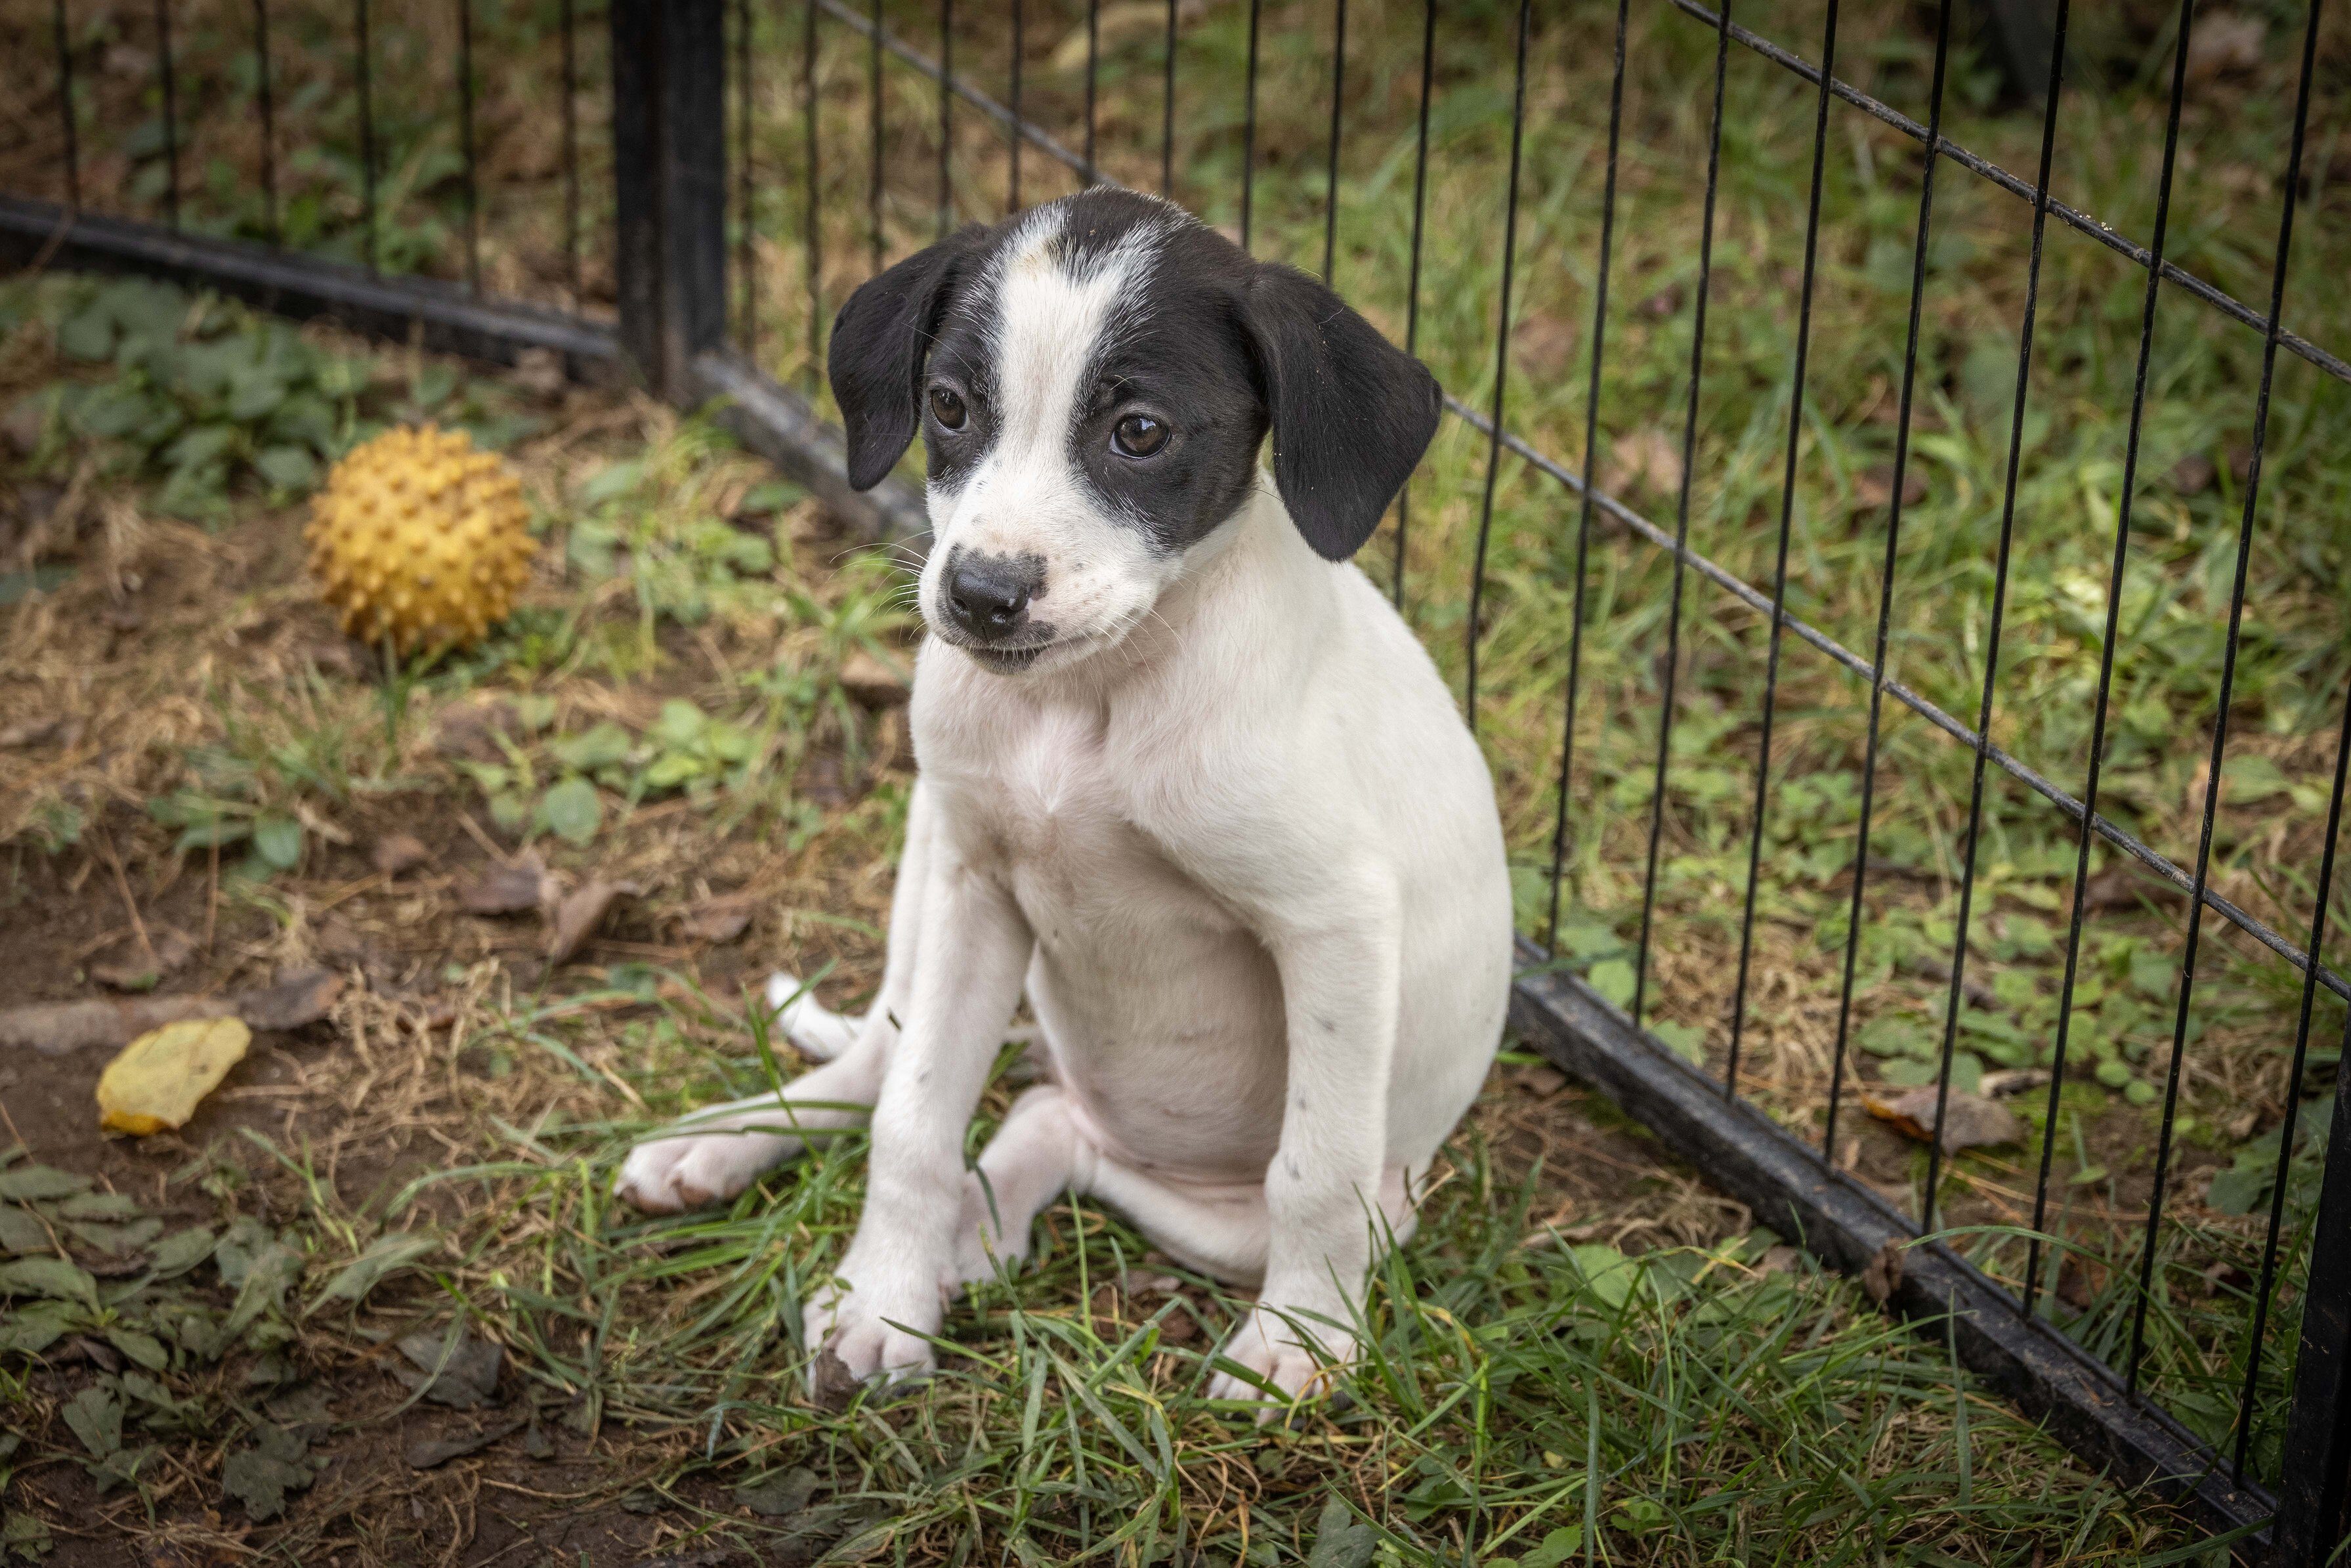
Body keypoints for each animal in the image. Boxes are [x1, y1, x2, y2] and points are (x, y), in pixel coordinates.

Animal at [615, 188, 1512, 1406]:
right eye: (948, 407)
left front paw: (1300, 1340)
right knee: (892, 1064)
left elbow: (1313, 1166)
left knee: (1057, 1122)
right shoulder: (973, 881)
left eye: (1139, 431)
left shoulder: (1335, 923)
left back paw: (981, 1233)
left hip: (1278, 1206)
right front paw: (878, 1302)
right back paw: (729, 1147)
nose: (980, 594)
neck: (1087, 703)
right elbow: (913, 1119)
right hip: (927, 846)